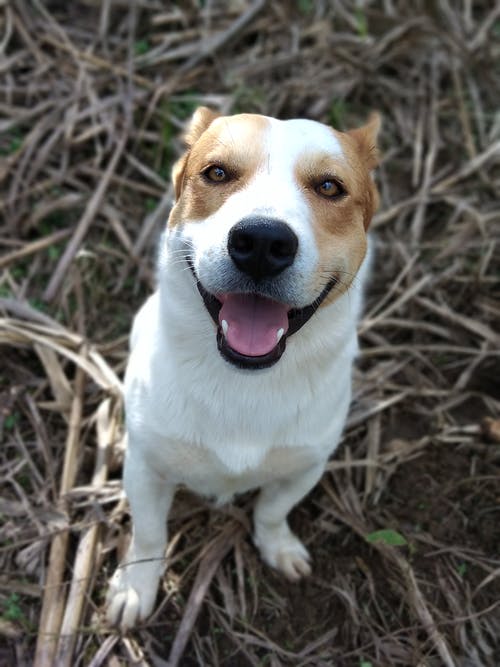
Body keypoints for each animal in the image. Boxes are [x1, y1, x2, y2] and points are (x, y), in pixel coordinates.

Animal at [105, 107, 378, 628]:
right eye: (216, 173)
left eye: (329, 186)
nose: (263, 242)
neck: (244, 380)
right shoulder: (147, 469)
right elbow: (148, 534)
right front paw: (136, 586)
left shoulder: (306, 464)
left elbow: (272, 510)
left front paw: (278, 546)